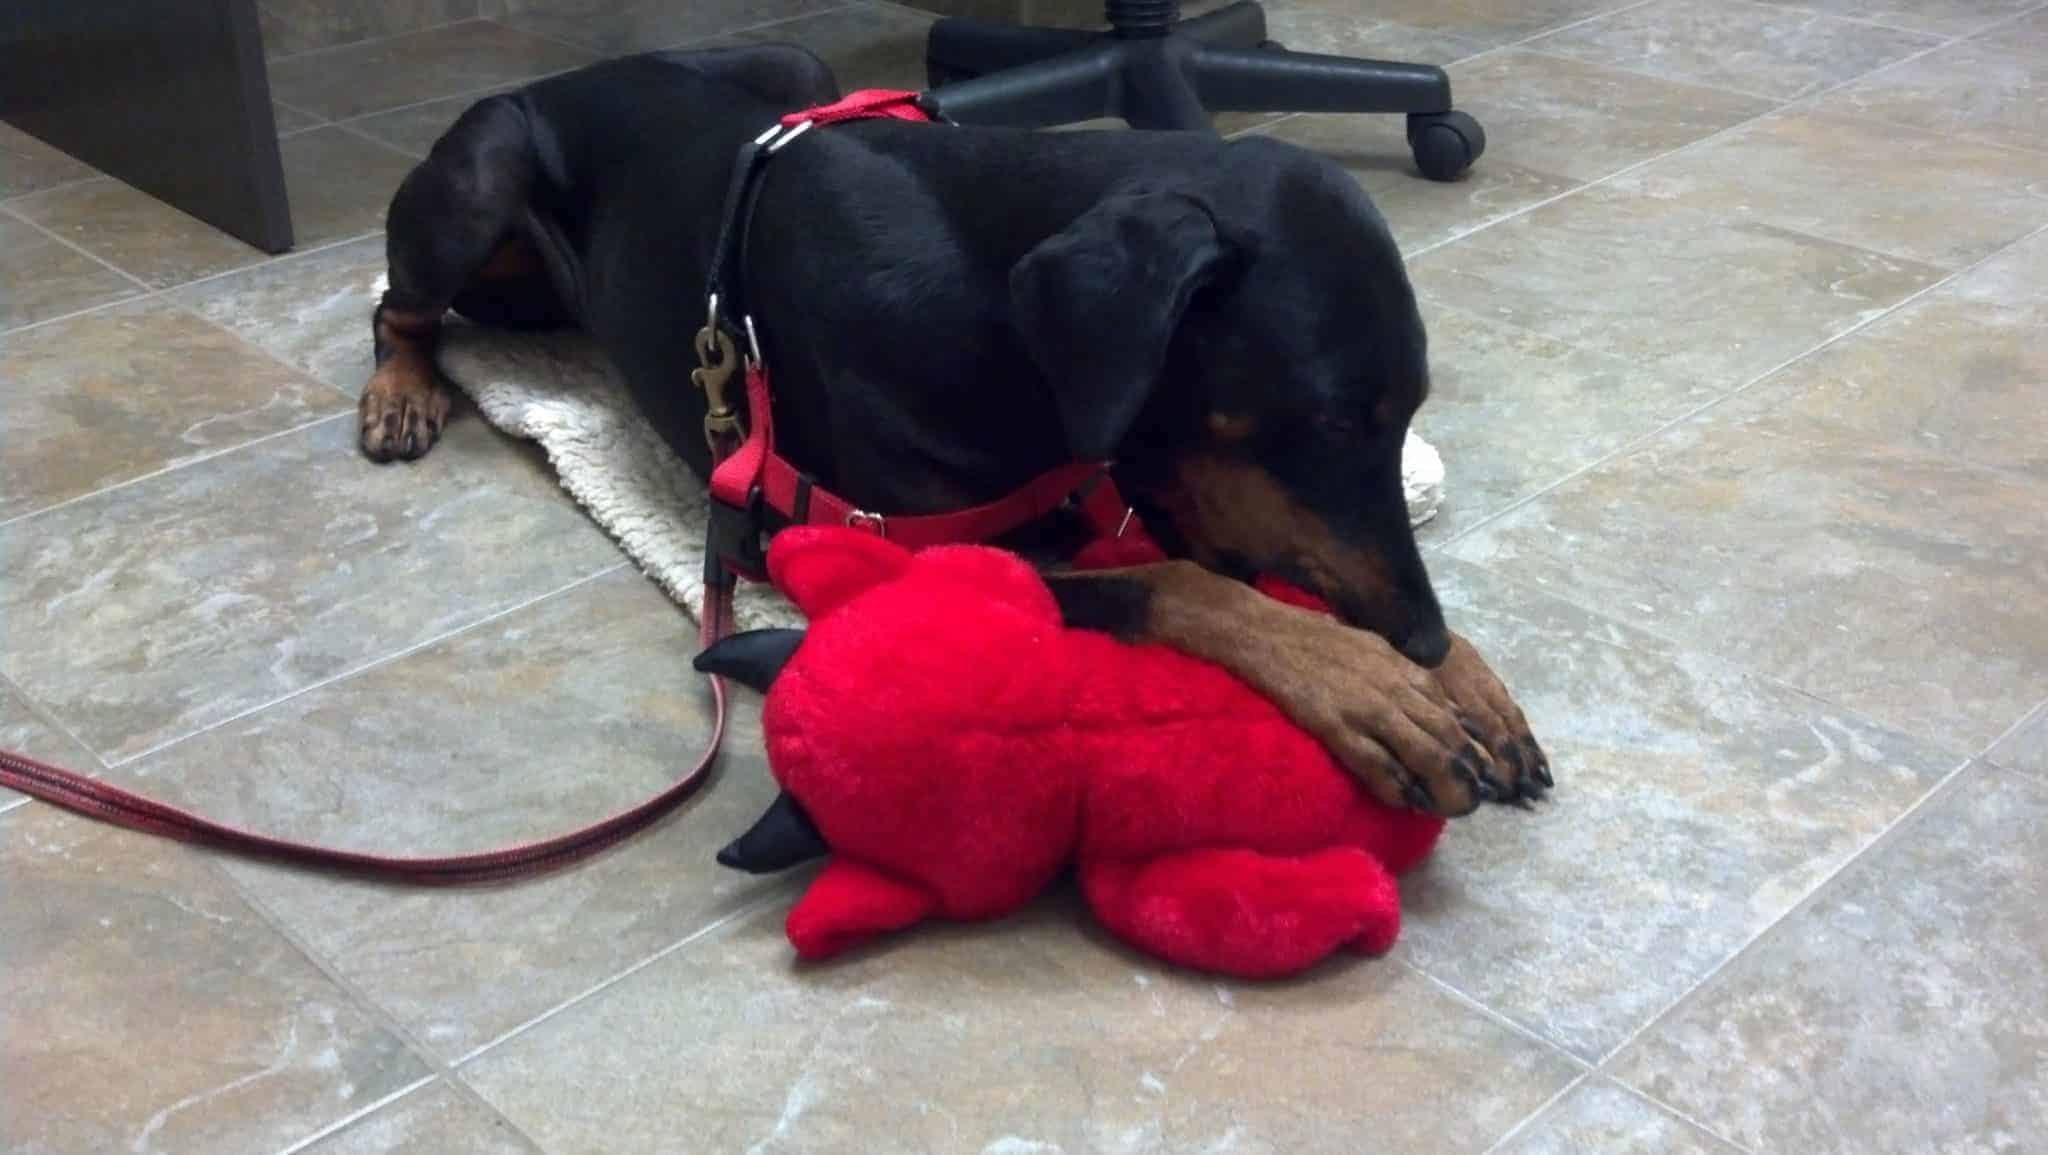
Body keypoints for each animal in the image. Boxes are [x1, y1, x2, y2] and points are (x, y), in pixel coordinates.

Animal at [364, 45, 1548, 815]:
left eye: (1405, 413)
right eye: (1326, 419)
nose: (1422, 636)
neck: (988, 297)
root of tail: (558, 75)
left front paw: (1460, 677)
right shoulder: (882, 548)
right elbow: (1178, 584)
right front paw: (1374, 687)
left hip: (794, 75)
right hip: (480, 178)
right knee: (398, 308)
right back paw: (400, 392)